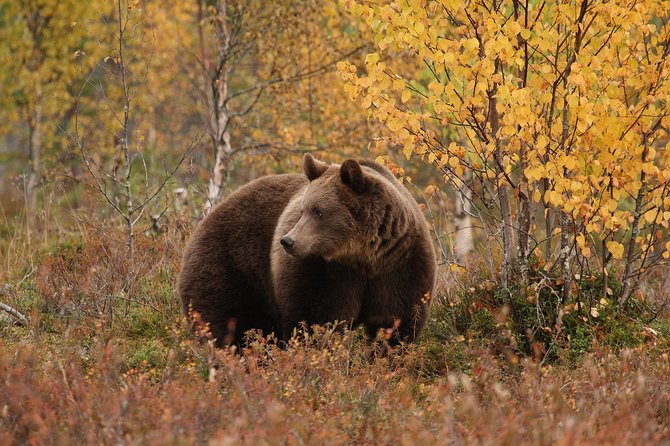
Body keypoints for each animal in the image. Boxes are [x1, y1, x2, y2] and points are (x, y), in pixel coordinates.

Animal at [177, 154, 436, 348]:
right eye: (303, 209)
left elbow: (397, 321)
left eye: (318, 211)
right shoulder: (322, 271)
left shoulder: (400, 264)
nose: (287, 241)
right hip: (231, 267)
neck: (362, 256)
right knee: (232, 327)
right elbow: (315, 320)